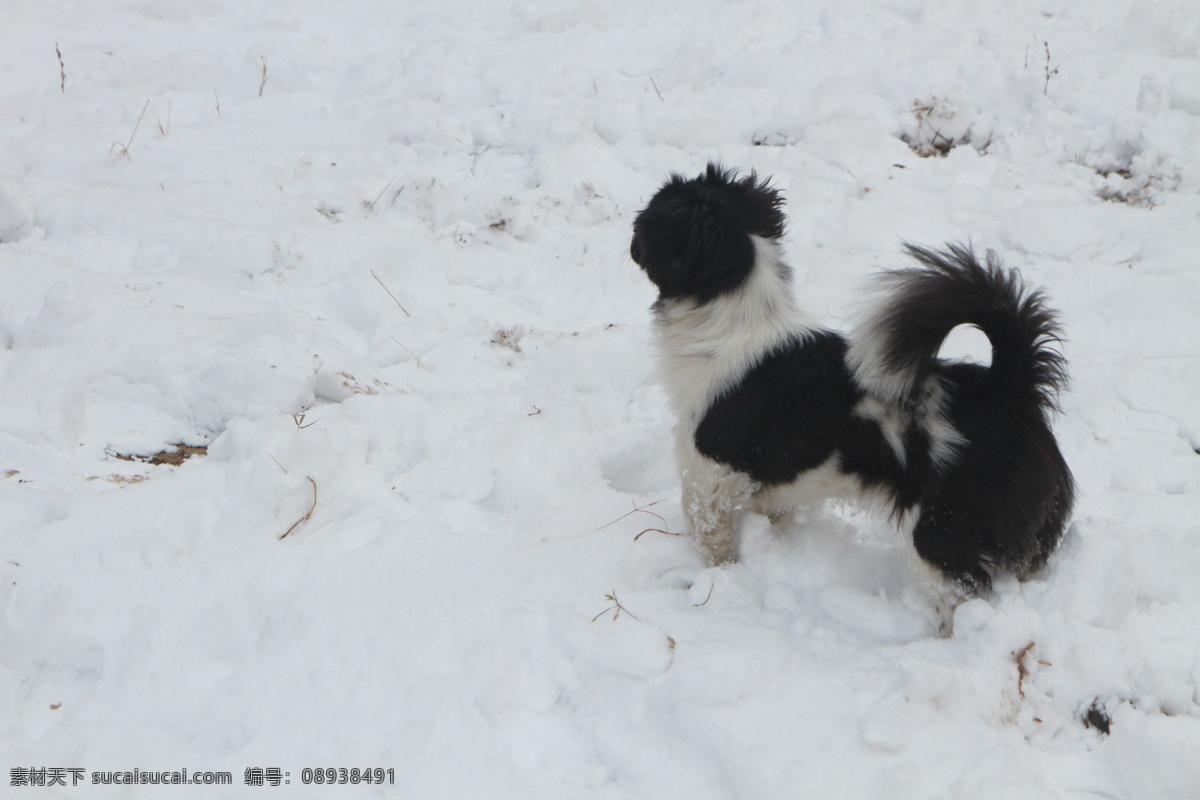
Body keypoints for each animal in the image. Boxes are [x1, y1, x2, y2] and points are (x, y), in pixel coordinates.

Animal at [633, 164, 1075, 599]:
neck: (738, 321)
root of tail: (1006, 389)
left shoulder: (706, 474)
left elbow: (713, 539)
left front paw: (718, 577)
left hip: (941, 536)